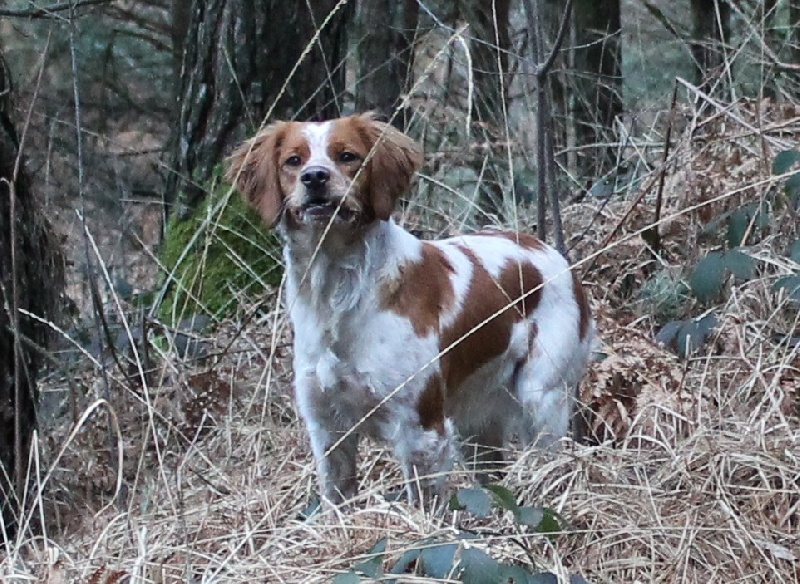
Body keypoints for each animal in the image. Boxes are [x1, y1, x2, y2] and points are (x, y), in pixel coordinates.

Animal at [227, 112, 592, 504]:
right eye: (293, 161)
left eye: (347, 156)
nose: (315, 177)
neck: (340, 290)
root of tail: (553, 254)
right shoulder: (327, 429)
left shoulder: (421, 427)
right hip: (476, 425)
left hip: (541, 399)